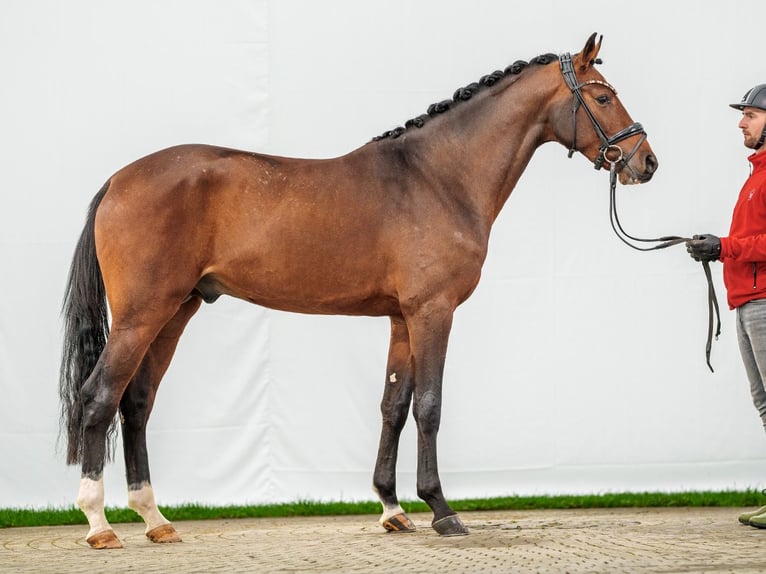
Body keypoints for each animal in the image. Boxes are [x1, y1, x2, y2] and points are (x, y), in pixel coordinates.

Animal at [60, 32, 660, 552]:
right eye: (603, 97)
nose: (646, 162)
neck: (437, 177)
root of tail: (118, 180)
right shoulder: (433, 312)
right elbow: (430, 406)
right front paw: (442, 510)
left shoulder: (401, 319)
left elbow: (393, 404)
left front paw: (393, 509)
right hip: (143, 313)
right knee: (99, 397)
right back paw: (98, 523)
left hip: (175, 310)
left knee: (136, 401)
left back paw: (155, 519)